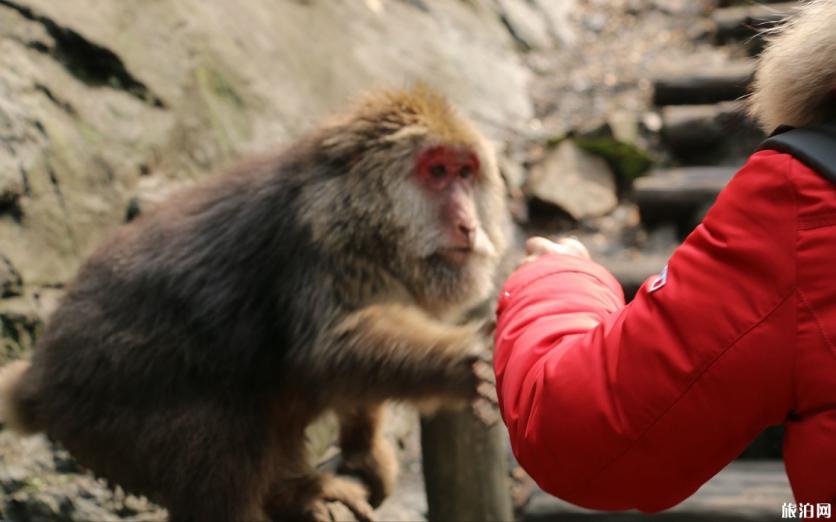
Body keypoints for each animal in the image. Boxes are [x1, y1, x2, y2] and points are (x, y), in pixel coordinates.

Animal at [0, 86, 510, 520]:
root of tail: (39, 380)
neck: (362, 218)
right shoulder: (320, 245)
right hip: (108, 418)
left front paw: (363, 450)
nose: (467, 223)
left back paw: (291, 490)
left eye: (465, 173)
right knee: (224, 428)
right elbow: (331, 348)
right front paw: (465, 360)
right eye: (436, 172)